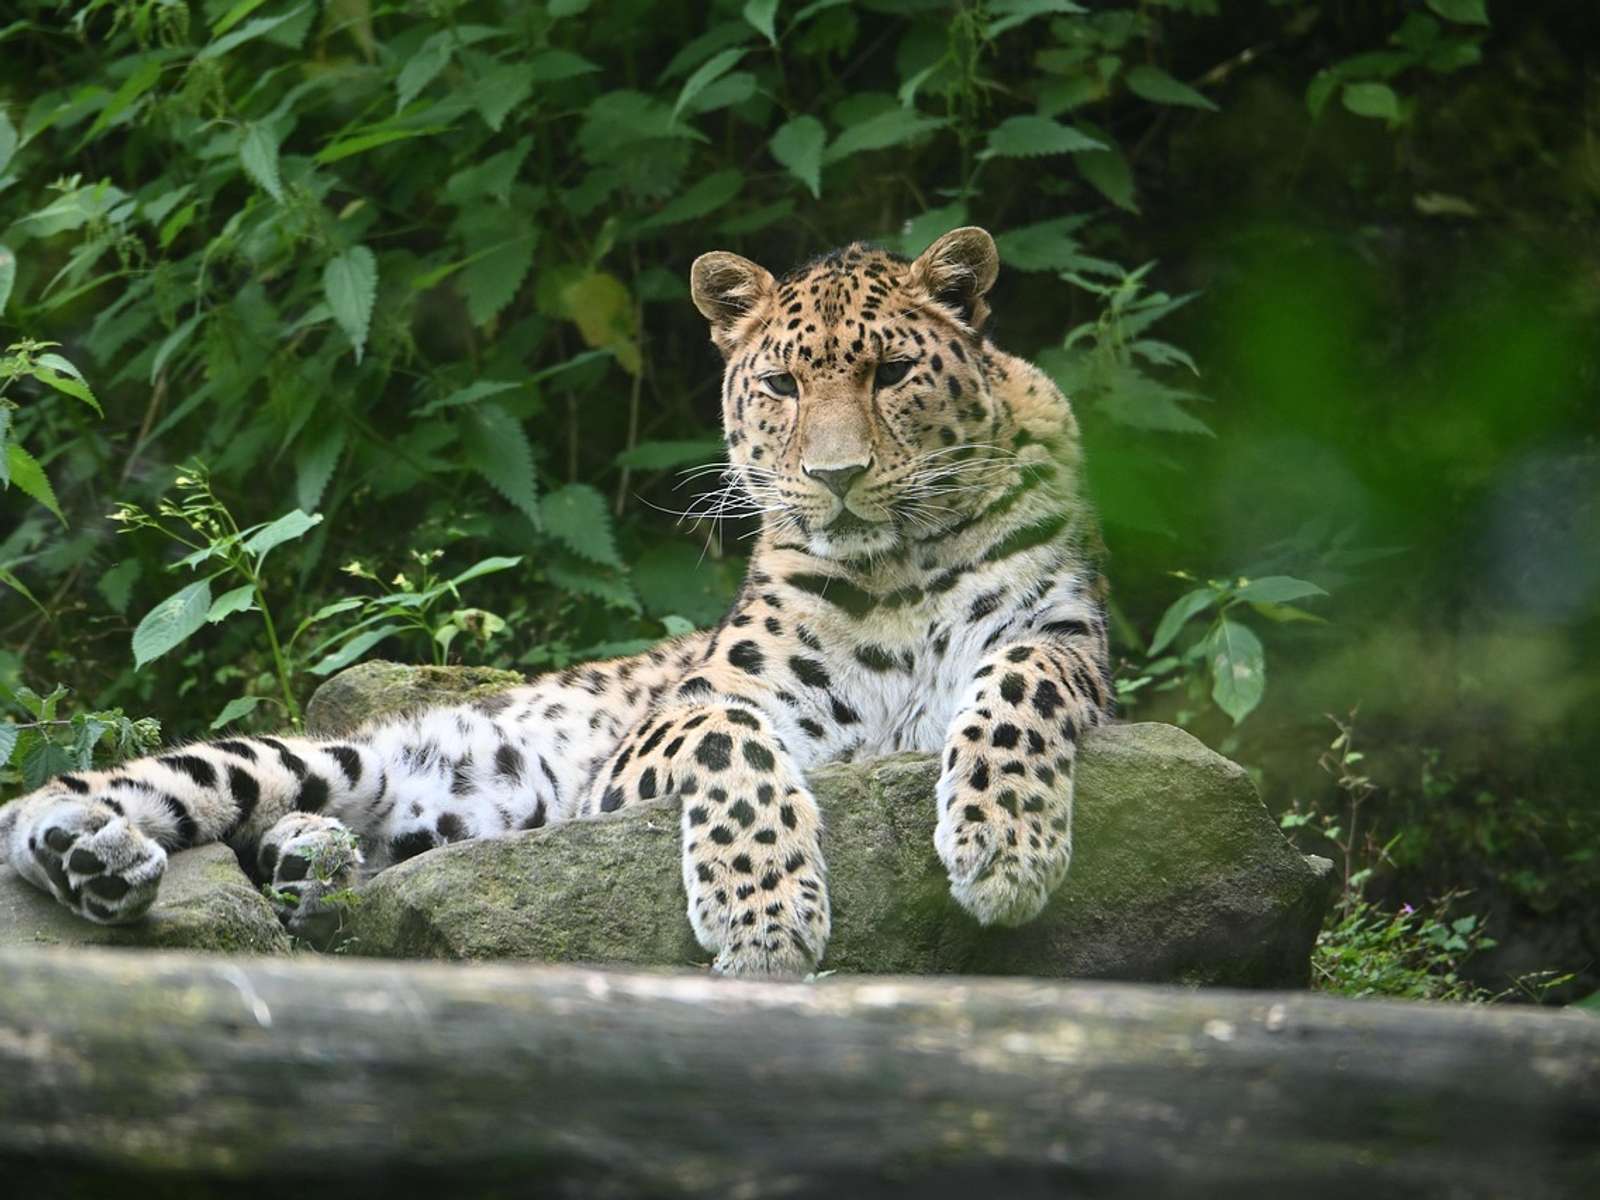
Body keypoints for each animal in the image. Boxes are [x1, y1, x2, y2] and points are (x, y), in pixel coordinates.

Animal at [0, 226, 1113, 976]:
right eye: (784, 387)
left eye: (892, 373)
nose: (835, 477)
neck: (889, 577)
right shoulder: (651, 743)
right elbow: (734, 740)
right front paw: (763, 916)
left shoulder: (1072, 644)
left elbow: (1021, 676)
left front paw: (1006, 848)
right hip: (315, 757)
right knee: (74, 795)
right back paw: (100, 853)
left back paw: (293, 863)